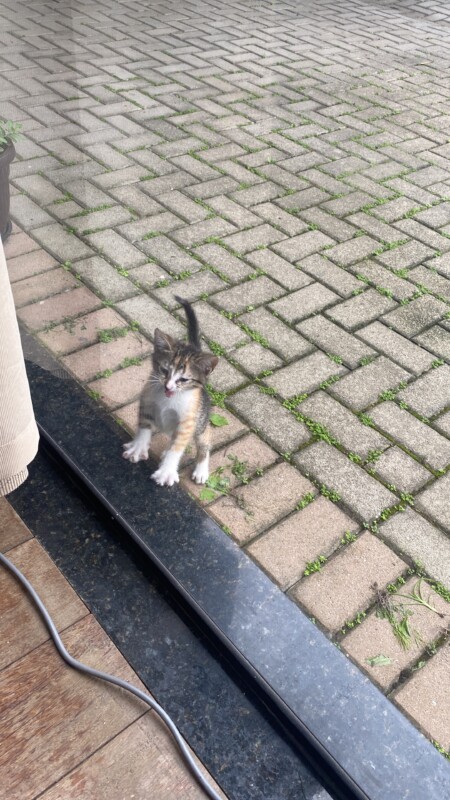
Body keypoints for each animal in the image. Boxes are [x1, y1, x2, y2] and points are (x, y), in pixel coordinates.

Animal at [123, 296, 218, 488]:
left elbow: (178, 445)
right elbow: (144, 426)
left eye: (184, 380)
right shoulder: (147, 401)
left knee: (205, 440)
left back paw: (201, 469)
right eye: (164, 370)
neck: (168, 400)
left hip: (201, 422)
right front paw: (138, 447)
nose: (168, 387)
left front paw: (166, 471)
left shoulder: (187, 421)